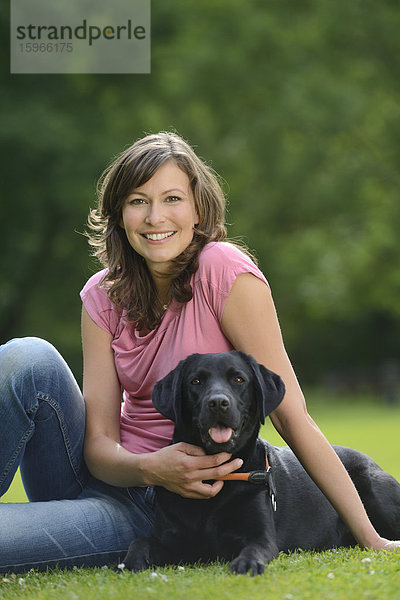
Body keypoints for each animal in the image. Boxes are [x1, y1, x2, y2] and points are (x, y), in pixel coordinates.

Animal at [122, 352, 400, 576]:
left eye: (238, 380)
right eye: (195, 381)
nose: (218, 403)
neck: (216, 480)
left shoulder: (261, 537)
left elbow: (254, 549)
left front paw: (247, 564)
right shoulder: (172, 539)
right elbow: (139, 542)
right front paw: (130, 562)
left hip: (373, 488)